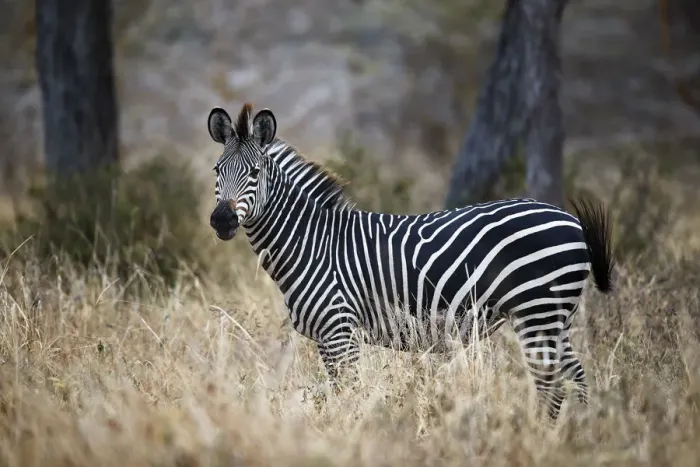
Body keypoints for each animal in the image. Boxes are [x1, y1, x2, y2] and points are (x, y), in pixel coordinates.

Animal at [207, 102, 615, 421]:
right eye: (217, 171)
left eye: (255, 173)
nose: (222, 221)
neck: (311, 241)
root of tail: (569, 219)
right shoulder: (331, 337)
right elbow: (340, 395)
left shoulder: (339, 330)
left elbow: (347, 396)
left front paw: (350, 435)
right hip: (553, 316)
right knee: (574, 378)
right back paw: (575, 434)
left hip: (539, 311)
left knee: (552, 385)